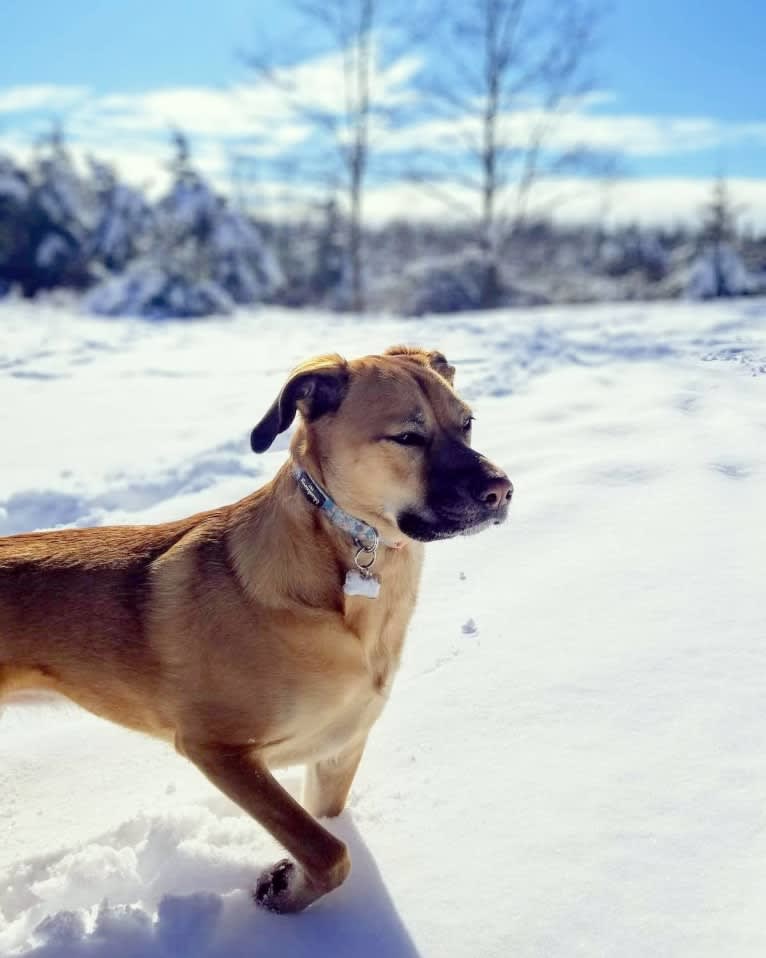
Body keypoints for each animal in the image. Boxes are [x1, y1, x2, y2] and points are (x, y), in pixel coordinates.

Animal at [1, 344, 516, 916]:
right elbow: (329, 852)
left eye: (466, 423)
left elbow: (326, 830)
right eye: (407, 436)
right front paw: (283, 891)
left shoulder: (339, 750)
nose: (501, 491)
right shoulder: (219, 750)